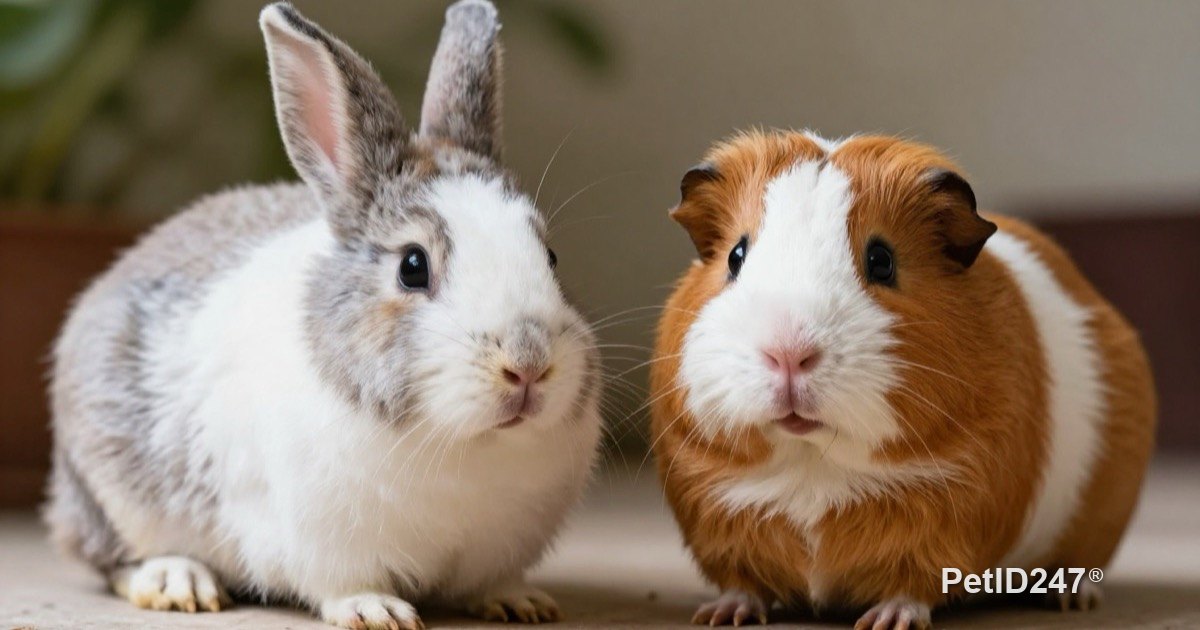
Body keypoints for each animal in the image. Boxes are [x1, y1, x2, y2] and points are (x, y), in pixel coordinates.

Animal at [43, 2, 603, 628]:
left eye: (550, 257)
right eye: (413, 266)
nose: (528, 364)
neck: (465, 444)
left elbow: (491, 581)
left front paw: (519, 601)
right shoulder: (323, 542)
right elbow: (342, 583)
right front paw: (377, 611)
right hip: (107, 493)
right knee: (111, 558)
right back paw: (177, 581)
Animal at [649, 130, 1155, 629]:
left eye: (882, 260)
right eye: (736, 256)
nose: (788, 352)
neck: (813, 465)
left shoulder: (947, 518)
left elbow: (913, 585)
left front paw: (886, 621)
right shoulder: (718, 516)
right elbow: (742, 582)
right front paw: (721, 615)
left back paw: (1071, 599)